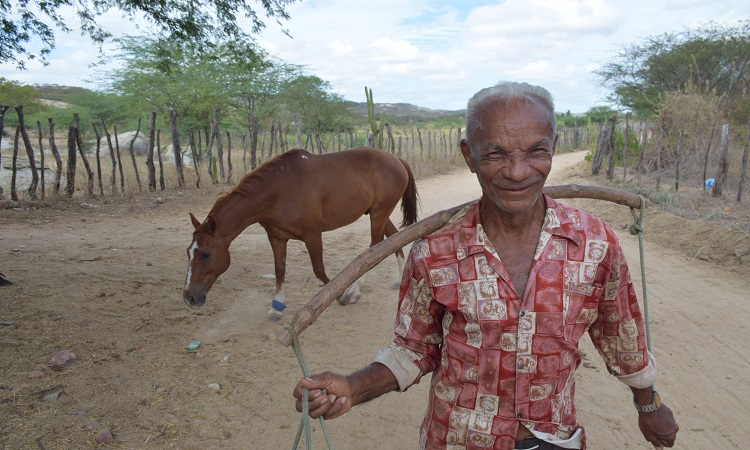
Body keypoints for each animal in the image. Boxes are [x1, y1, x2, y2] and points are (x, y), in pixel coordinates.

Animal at [181, 148, 418, 320]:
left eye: (205, 254)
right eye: (188, 253)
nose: (189, 297)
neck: (278, 190)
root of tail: (397, 159)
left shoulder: (312, 234)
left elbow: (319, 270)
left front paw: (340, 295)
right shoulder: (276, 237)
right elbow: (279, 269)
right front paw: (277, 306)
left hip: (379, 212)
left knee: (373, 249)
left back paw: (354, 291)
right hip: (377, 212)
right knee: (393, 238)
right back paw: (398, 279)